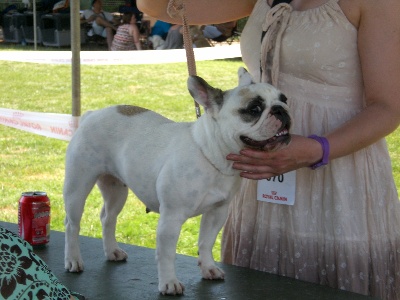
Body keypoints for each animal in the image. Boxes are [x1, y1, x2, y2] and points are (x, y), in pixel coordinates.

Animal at [64, 68, 292, 296]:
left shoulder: (217, 212)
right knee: (72, 225)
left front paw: (208, 268)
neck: (213, 155)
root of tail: (91, 115)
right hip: (77, 187)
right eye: (254, 109)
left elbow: (206, 242)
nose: (281, 109)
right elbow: (166, 254)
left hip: (116, 190)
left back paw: (112, 251)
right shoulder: (171, 219)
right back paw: (73, 260)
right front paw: (169, 283)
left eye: (284, 99)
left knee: (108, 217)